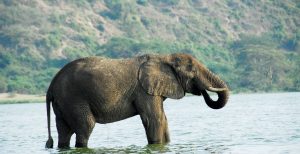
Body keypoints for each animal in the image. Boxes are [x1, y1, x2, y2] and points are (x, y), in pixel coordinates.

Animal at [44, 53, 229, 148]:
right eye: (192, 70)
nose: (202, 91)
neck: (164, 57)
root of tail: (51, 85)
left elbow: (163, 119)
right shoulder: (144, 91)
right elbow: (154, 119)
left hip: (63, 102)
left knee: (64, 131)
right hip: (73, 98)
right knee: (85, 126)